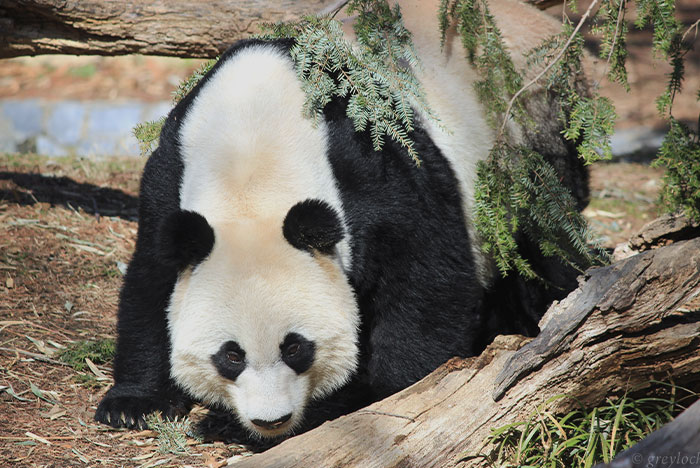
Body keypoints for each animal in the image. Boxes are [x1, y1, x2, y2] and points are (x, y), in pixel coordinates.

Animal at [95, 0, 588, 440]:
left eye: (295, 347)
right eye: (231, 356)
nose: (271, 421)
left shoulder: (371, 165)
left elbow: (425, 277)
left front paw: (387, 393)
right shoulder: (171, 174)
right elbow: (151, 278)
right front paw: (133, 404)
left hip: (527, 132)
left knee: (546, 241)